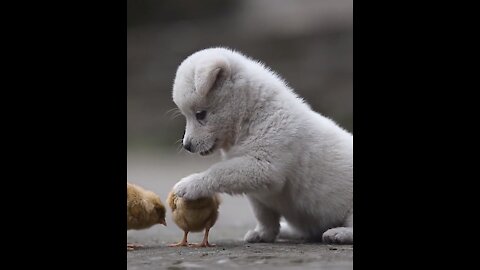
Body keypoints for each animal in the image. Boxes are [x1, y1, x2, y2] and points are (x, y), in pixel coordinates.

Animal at [172, 47, 352, 244]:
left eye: (200, 114)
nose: (187, 146)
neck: (253, 115)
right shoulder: (259, 190)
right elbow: (264, 215)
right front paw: (263, 233)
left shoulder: (263, 166)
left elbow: (218, 171)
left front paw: (190, 184)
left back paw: (338, 233)